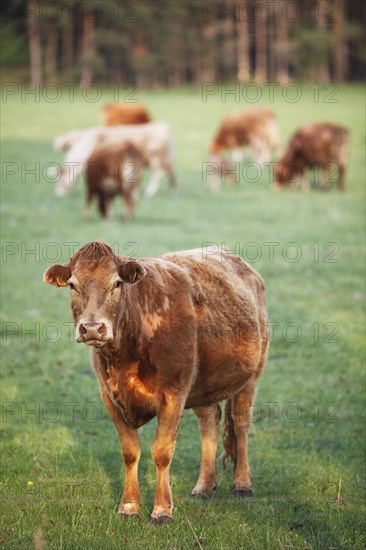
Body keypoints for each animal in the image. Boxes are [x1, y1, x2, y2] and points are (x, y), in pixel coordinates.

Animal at [44, 243, 270, 528]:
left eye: (116, 283)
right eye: (73, 285)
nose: (93, 328)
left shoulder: (173, 394)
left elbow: (161, 452)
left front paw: (162, 510)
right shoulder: (110, 398)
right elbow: (130, 452)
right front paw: (129, 506)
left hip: (251, 376)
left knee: (240, 425)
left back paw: (242, 484)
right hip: (204, 385)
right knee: (209, 424)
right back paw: (203, 486)